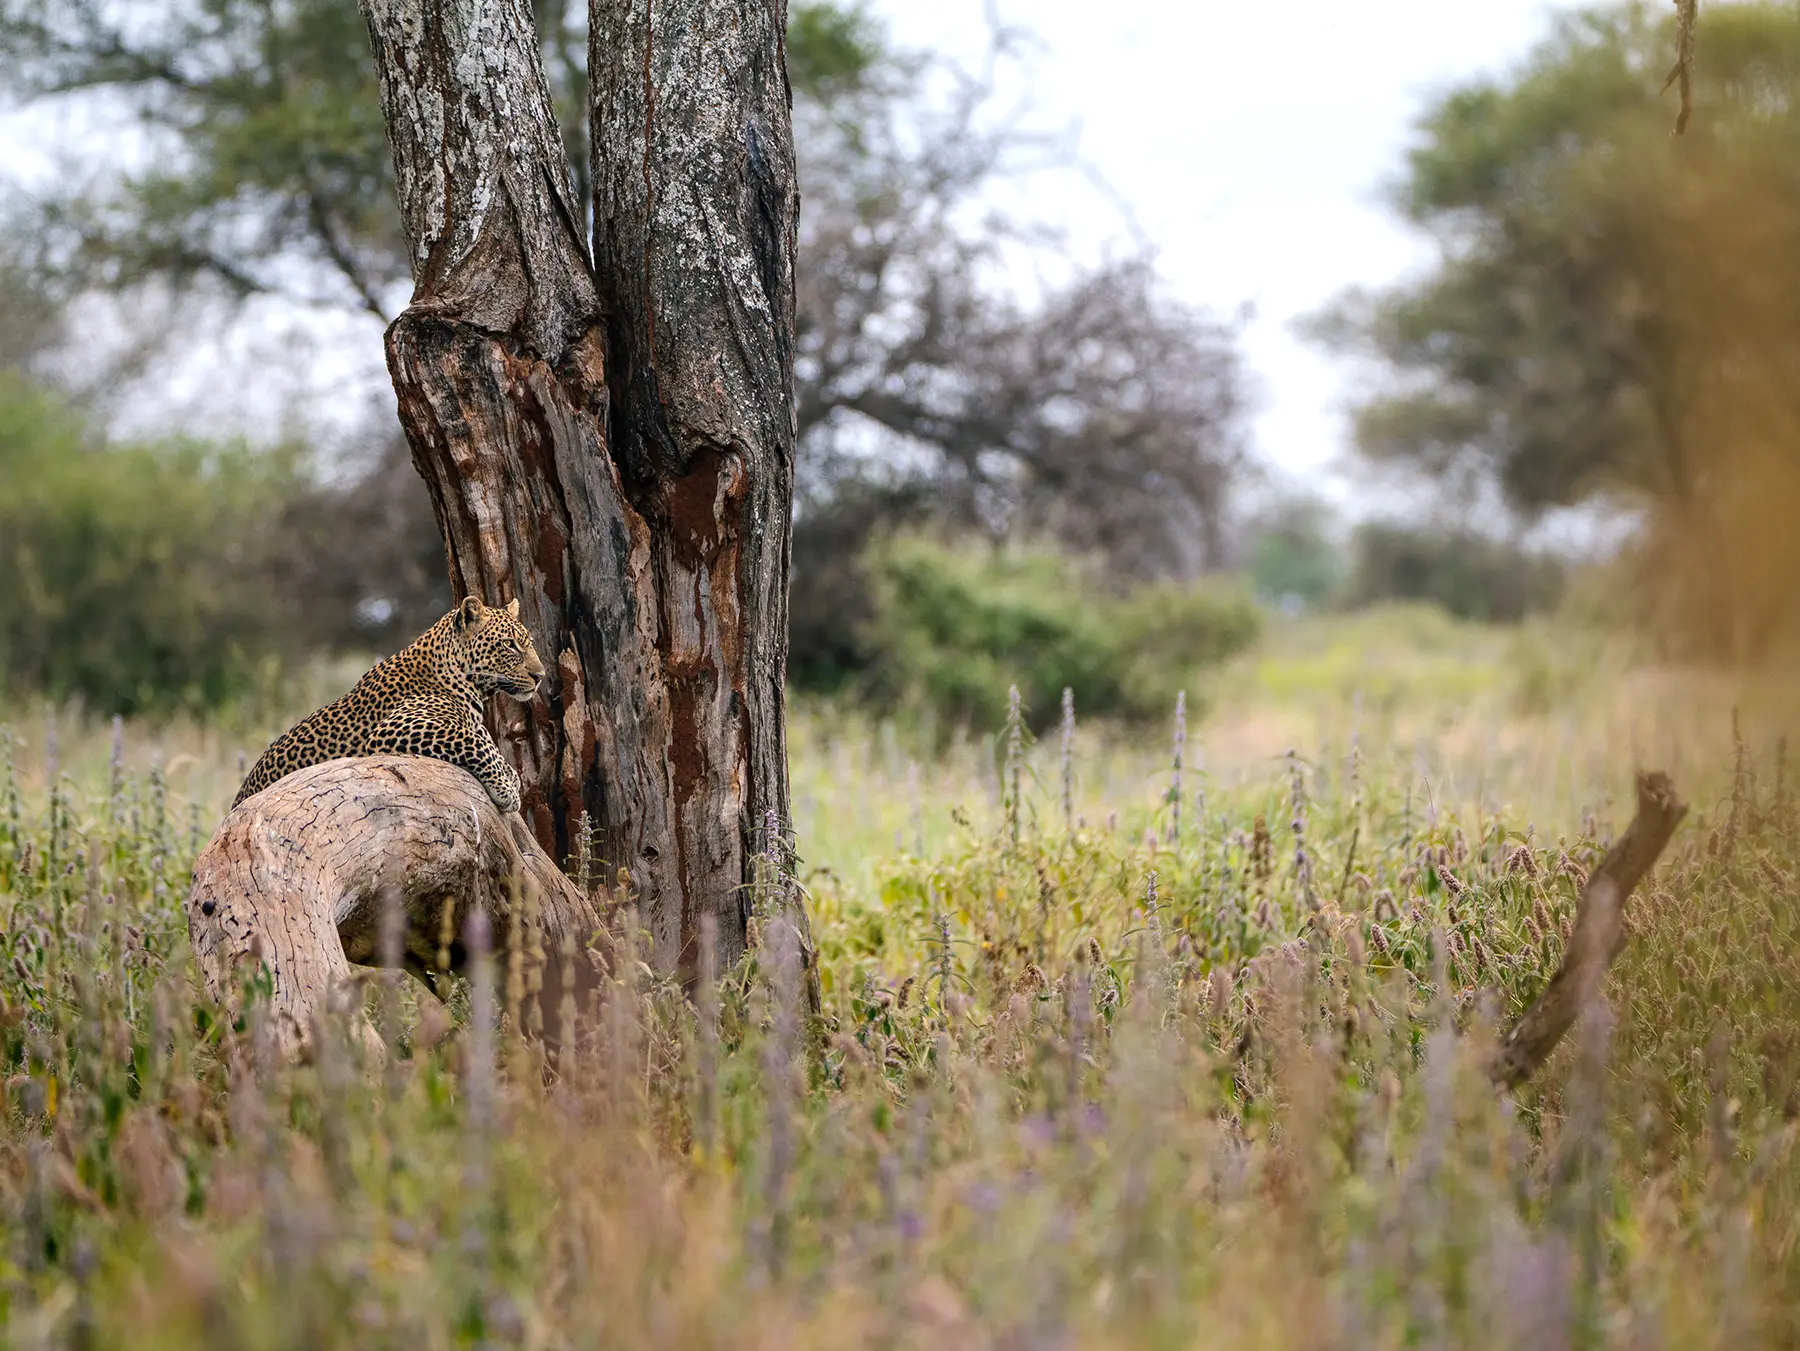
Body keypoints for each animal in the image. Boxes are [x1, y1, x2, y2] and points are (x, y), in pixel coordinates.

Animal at [232, 595, 545, 813]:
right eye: (509, 644)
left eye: (529, 642)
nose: (540, 675)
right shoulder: (394, 728)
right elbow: (472, 740)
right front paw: (505, 788)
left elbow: (486, 742)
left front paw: (509, 776)